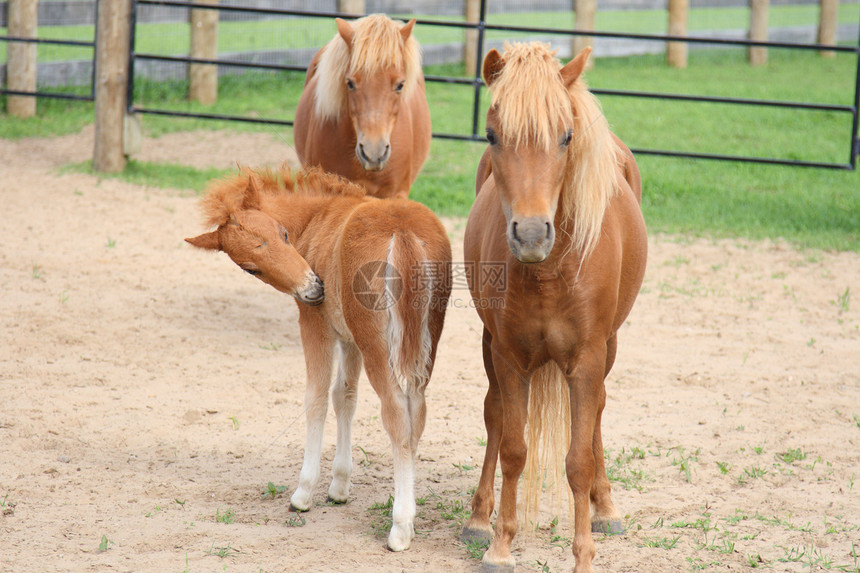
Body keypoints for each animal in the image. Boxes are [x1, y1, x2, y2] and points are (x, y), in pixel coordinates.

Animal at [186, 168, 454, 552]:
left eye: (283, 234)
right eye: (251, 269)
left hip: (378, 346)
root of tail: (401, 230)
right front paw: (339, 486)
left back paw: (401, 527)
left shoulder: (316, 326)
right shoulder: (350, 340)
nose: (313, 288)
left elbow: (315, 400)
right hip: (420, 345)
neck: (318, 217)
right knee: (416, 412)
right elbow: (345, 397)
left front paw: (303, 493)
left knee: (396, 416)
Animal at [460, 42, 648, 568]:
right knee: (493, 415)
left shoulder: (585, 360)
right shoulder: (508, 357)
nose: (529, 234)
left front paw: (583, 555)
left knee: (598, 412)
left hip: (609, 347)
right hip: (490, 346)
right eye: (492, 135)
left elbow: (577, 459)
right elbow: (513, 447)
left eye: (566, 137)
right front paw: (500, 545)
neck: (549, 272)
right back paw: (477, 520)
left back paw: (606, 509)